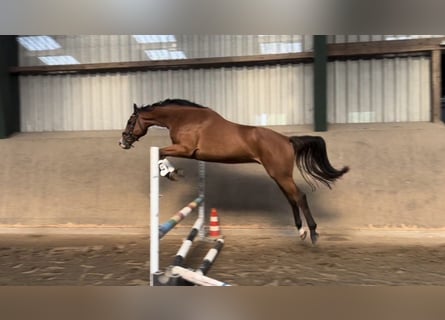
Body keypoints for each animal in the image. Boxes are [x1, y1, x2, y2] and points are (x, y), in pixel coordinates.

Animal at [119, 99, 348, 244]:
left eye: (131, 121)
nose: (122, 142)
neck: (185, 119)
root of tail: (287, 140)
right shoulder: (189, 152)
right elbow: (161, 153)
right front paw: (172, 172)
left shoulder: (185, 149)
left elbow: (160, 152)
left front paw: (171, 173)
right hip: (278, 176)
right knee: (292, 198)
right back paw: (301, 232)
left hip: (281, 175)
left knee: (299, 196)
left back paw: (313, 233)